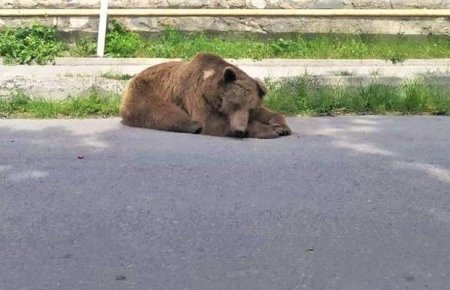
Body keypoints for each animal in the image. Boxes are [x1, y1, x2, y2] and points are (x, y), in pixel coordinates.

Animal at [119, 53, 290, 139]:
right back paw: (192, 126)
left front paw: (282, 126)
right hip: (146, 90)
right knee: (161, 111)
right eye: (233, 105)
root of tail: (137, 74)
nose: (239, 130)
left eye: (251, 108)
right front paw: (272, 130)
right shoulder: (197, 96)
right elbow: (211, 122)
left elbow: (267, 112)